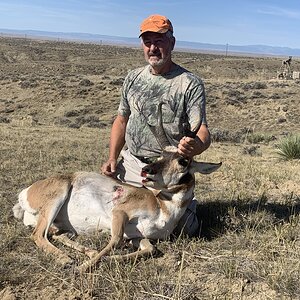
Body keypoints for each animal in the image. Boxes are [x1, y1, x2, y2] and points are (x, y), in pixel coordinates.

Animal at [12, 103, 221, 272]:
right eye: (160, 155)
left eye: (183, 161)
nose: (146, 170)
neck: (164, 211)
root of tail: (26, 192)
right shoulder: (120, 213)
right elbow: (115, 239)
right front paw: (84, 267)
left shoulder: (137, 236)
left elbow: (151, 249)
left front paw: (109, 259)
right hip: (58, 197)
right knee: (38, 235)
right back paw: (67, 260)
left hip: (63, 226)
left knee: (57, 235)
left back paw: (87, 251)